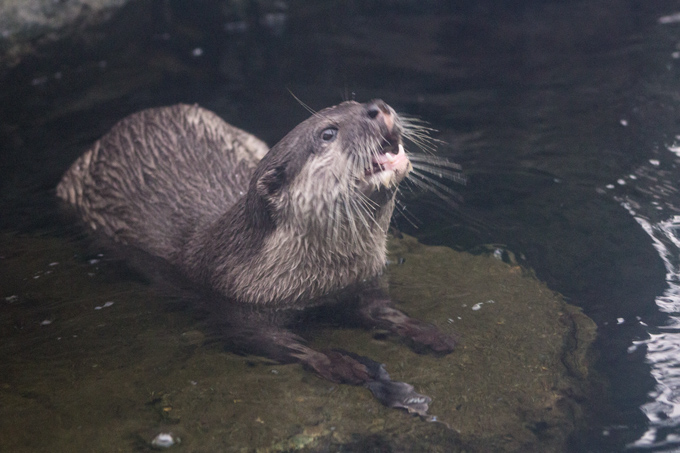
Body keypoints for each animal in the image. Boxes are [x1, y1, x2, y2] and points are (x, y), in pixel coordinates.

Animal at [58, 100, 456, 414]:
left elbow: (382, 311)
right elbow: (270, 342)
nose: (377, 107)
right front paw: (334, 362)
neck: (323, 279)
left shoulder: (364, 280)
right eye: (328, 133)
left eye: (355, 101)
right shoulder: (236, 300)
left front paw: (425, 333)